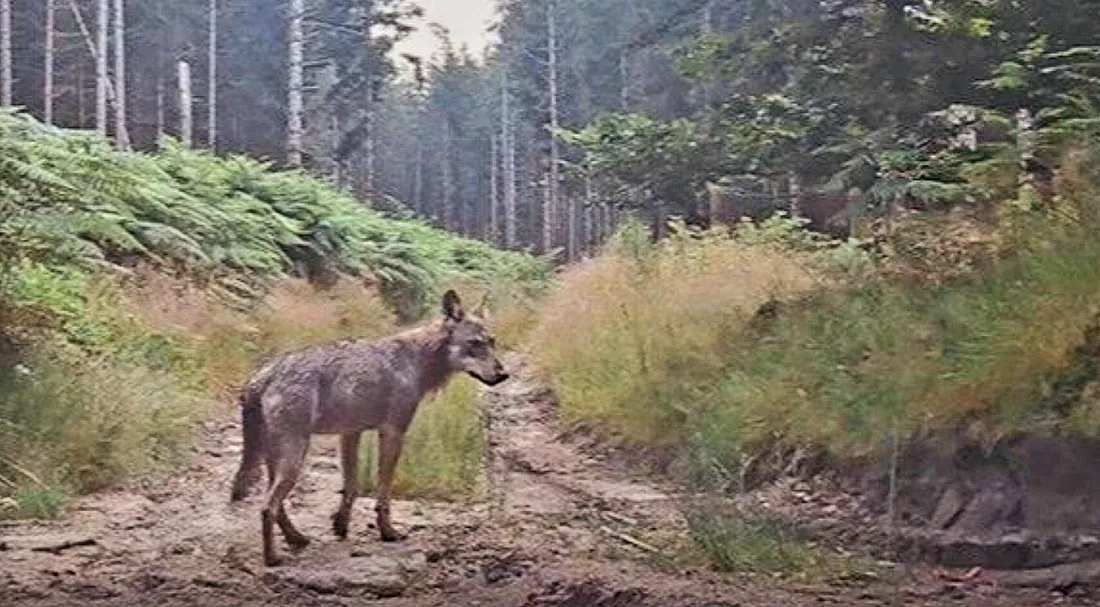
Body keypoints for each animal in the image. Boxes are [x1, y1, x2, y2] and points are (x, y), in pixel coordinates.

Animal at [229, 290, 509, 566]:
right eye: (474, 343)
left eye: (492, 342)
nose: (503, 374)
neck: (415, 360)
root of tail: (262, 374)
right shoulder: (393, 433)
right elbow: (383, 494)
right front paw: (388, 532)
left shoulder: (351, 434)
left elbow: (351, 488)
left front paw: (341, 527)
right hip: (294, 458)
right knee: (268, 507)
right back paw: (273, 558)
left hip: (276, 459)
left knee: (276, 505)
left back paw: (297, 539)